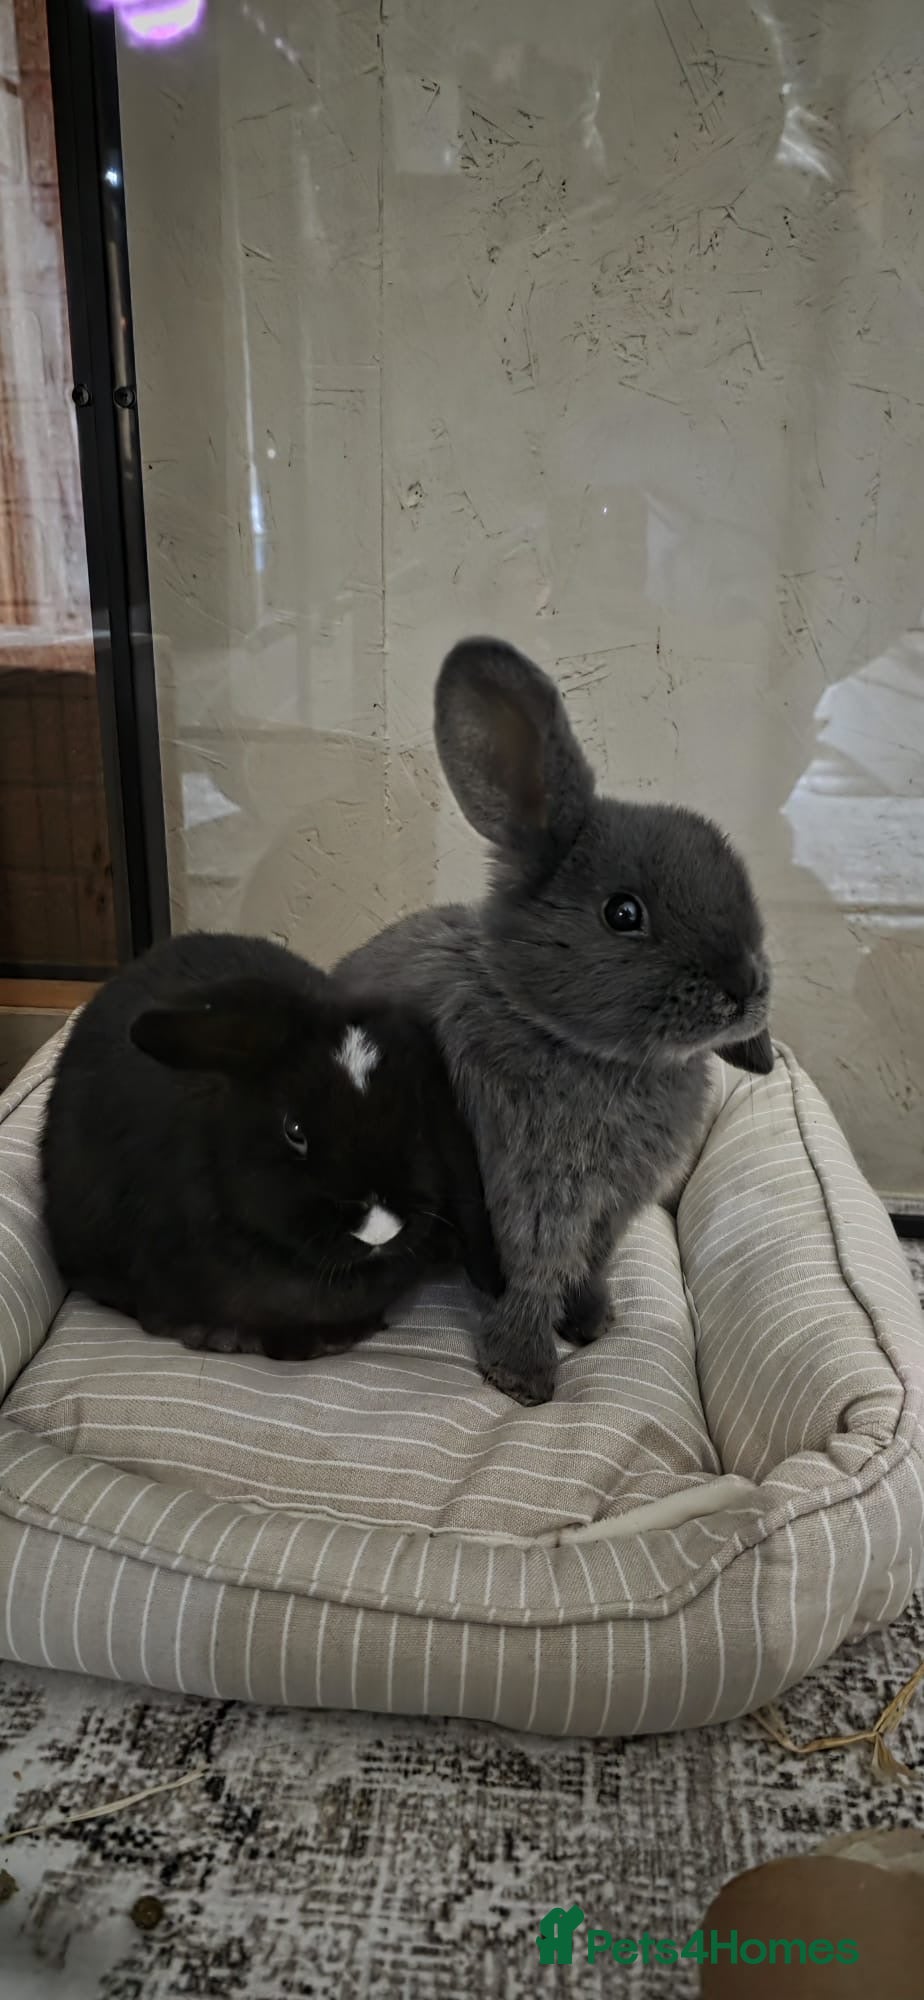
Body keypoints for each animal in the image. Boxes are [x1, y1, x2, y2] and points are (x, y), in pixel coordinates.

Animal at [338, 637, 773, 1406]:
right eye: (622, 913)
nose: (745, 989)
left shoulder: (612, 1208)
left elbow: (588, 1264)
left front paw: (594, 1322)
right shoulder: (533, 1198)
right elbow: (535, 1273)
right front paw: (524, 1374)